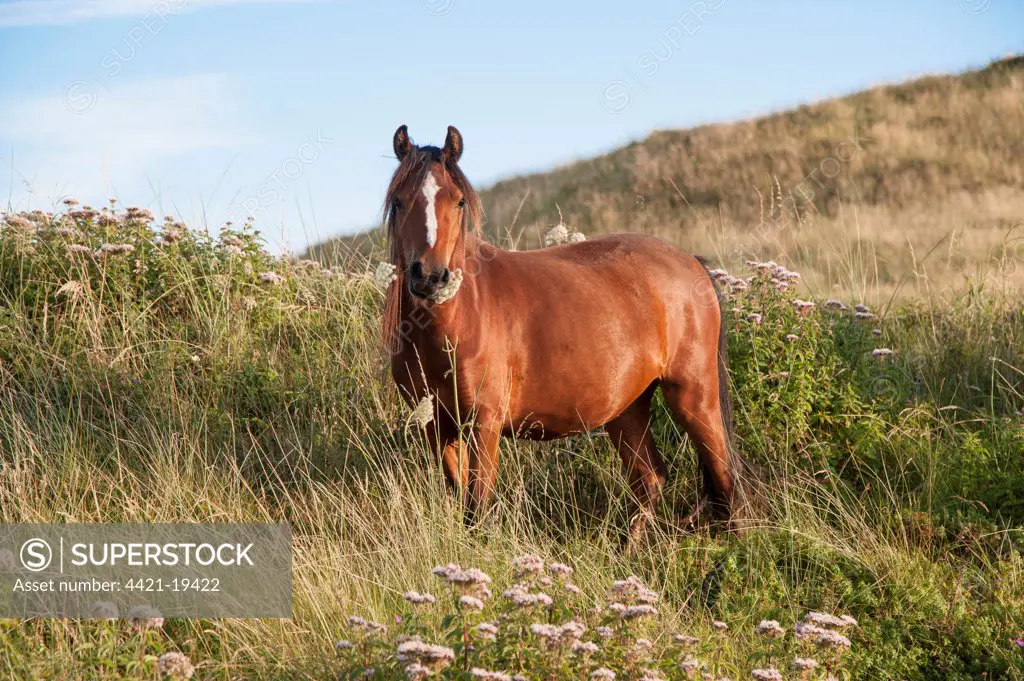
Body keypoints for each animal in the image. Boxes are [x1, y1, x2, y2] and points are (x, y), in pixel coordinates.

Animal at [380, 124, 741, 540]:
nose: (431, 277)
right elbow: (460, 502)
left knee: (724, 476)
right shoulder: (437, 427)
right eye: (399, 202)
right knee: (650, 478)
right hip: (628, 409)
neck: (456, 321)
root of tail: (691, 263)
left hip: (694, 395)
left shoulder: (484, 425)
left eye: (457, 201)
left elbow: (477, 509)